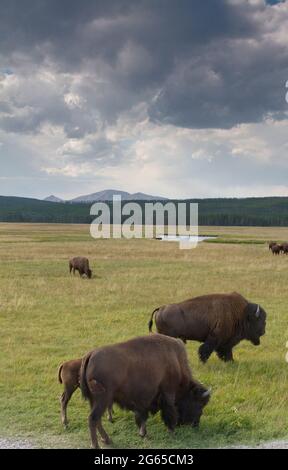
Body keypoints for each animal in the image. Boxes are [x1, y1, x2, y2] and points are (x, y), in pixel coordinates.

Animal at [80, 334, 210, 448]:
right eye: (199, 404)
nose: (196, 424)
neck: (175, 360)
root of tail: (90, 355)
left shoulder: (145, 401)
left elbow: (143, 416)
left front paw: (143, 433)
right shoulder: (167, 392)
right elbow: (169, 411)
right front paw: (172, 431)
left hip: (95, 400)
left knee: (97, 420)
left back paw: (107, 440)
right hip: (102, 399)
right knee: (93, 419)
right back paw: (96, 445)